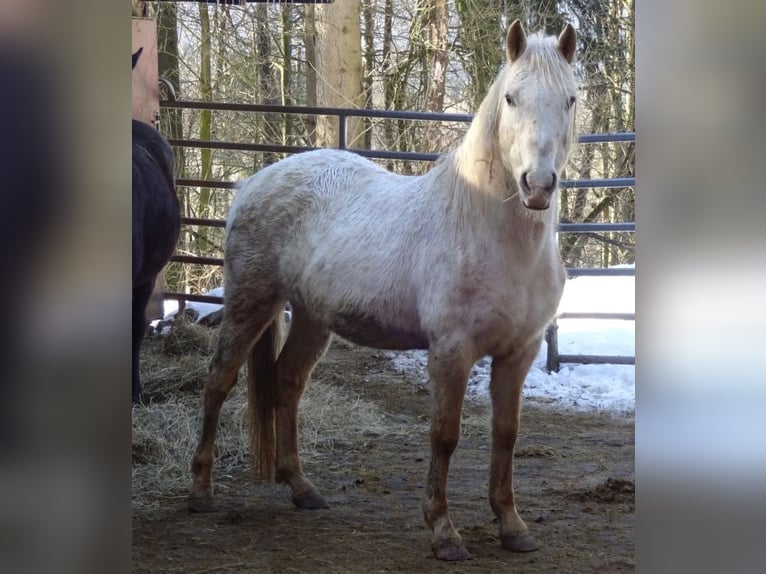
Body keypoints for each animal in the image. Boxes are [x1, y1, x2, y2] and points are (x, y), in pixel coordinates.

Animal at [189, 21, 580, 564]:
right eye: (511, 98)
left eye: (570, 99)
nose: (538, 185)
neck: (487, 230)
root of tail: (253, 182)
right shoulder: (451, 351)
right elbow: (444, 435)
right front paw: (443, 532)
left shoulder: (519, 352)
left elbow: (506, 434)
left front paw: (512, 526)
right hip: (251, 302)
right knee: (218, 381)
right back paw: (201, 491)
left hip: (311, 316)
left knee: (288, 382)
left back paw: (302, 488)